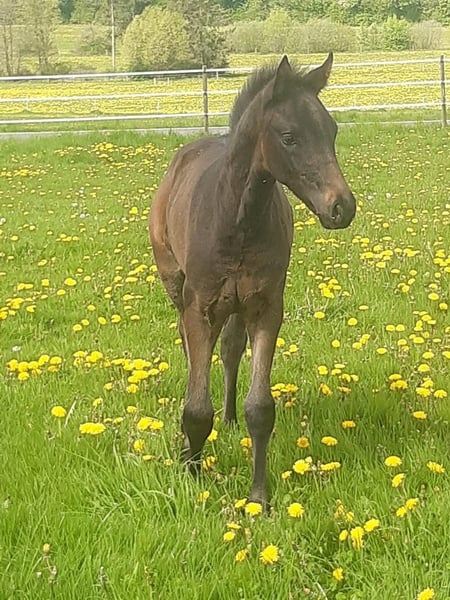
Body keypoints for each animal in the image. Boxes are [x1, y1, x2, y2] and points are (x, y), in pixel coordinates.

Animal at [149, 53, 356, 506]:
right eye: (289, 137)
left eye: (332, 130)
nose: (342, 207)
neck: (238, 220)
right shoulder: (200, 306)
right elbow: (195, 407)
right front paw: (191, 474)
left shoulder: (265, 308)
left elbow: (260, 407)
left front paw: (259, 497)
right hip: (175, 285)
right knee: (190, 347)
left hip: (236, 306)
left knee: (229, 349)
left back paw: (227, 420)